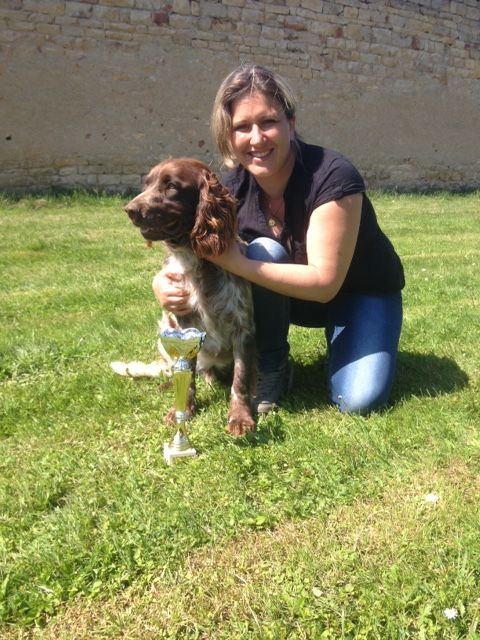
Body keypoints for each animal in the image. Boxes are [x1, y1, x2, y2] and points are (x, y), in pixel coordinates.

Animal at [125, 158, 256, 438]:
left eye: (171, 186)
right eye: (147, 183)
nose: (129, 210)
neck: (196, 260)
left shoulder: (243, 326)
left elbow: (240, 380)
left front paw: (240, 417)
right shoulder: (185, 326)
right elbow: (188, 376)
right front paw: (183, 410)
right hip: (164, 328)